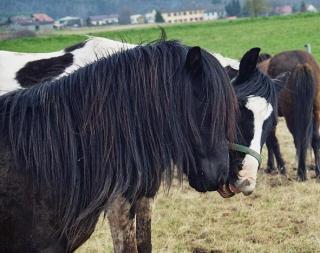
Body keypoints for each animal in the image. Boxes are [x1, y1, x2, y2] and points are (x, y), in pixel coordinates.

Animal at [258, 50, 320, 180]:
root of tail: (301, 64)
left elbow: (271, 141)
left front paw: (276, 167)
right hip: (315, 111)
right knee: (315, 139)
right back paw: (317, 171)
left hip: (292, 116)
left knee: (300, 139)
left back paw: (301, 173)